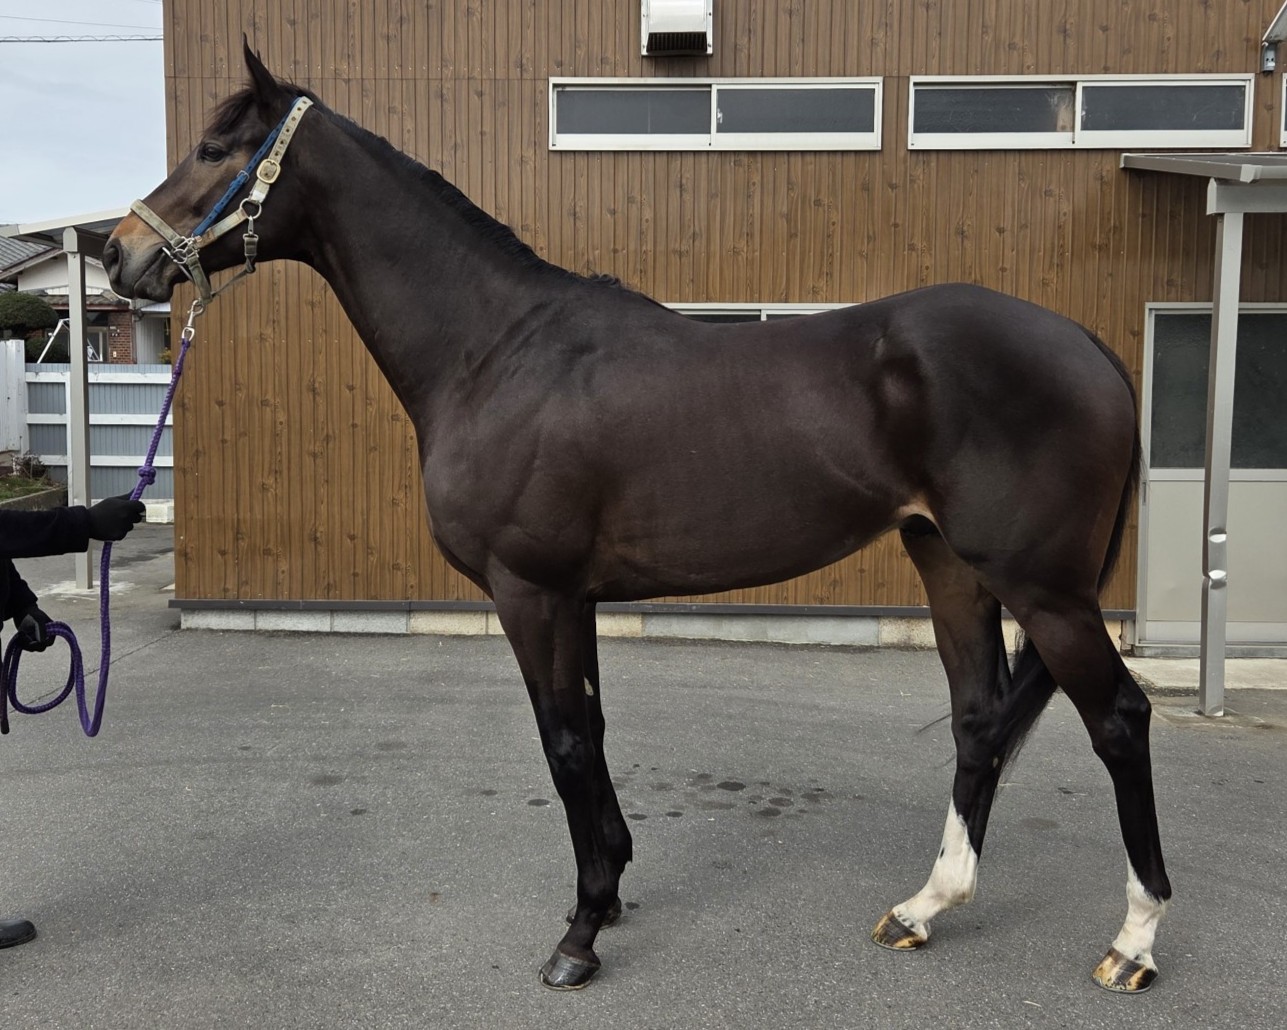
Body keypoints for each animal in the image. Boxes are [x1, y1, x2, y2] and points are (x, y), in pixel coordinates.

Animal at [105, 42, 1171, 993]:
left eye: (212, 145)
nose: (119, 253)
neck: (494, 351)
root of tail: (1088, 344)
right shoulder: (573, 597)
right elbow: (594, 729)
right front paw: (610, 887)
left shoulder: (529, 592)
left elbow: (564, 743)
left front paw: (577, 935)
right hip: (947, 562)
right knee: (978, 718)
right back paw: (922, 908)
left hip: (1043, 588)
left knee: (1117, 720)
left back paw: (1132, 942)